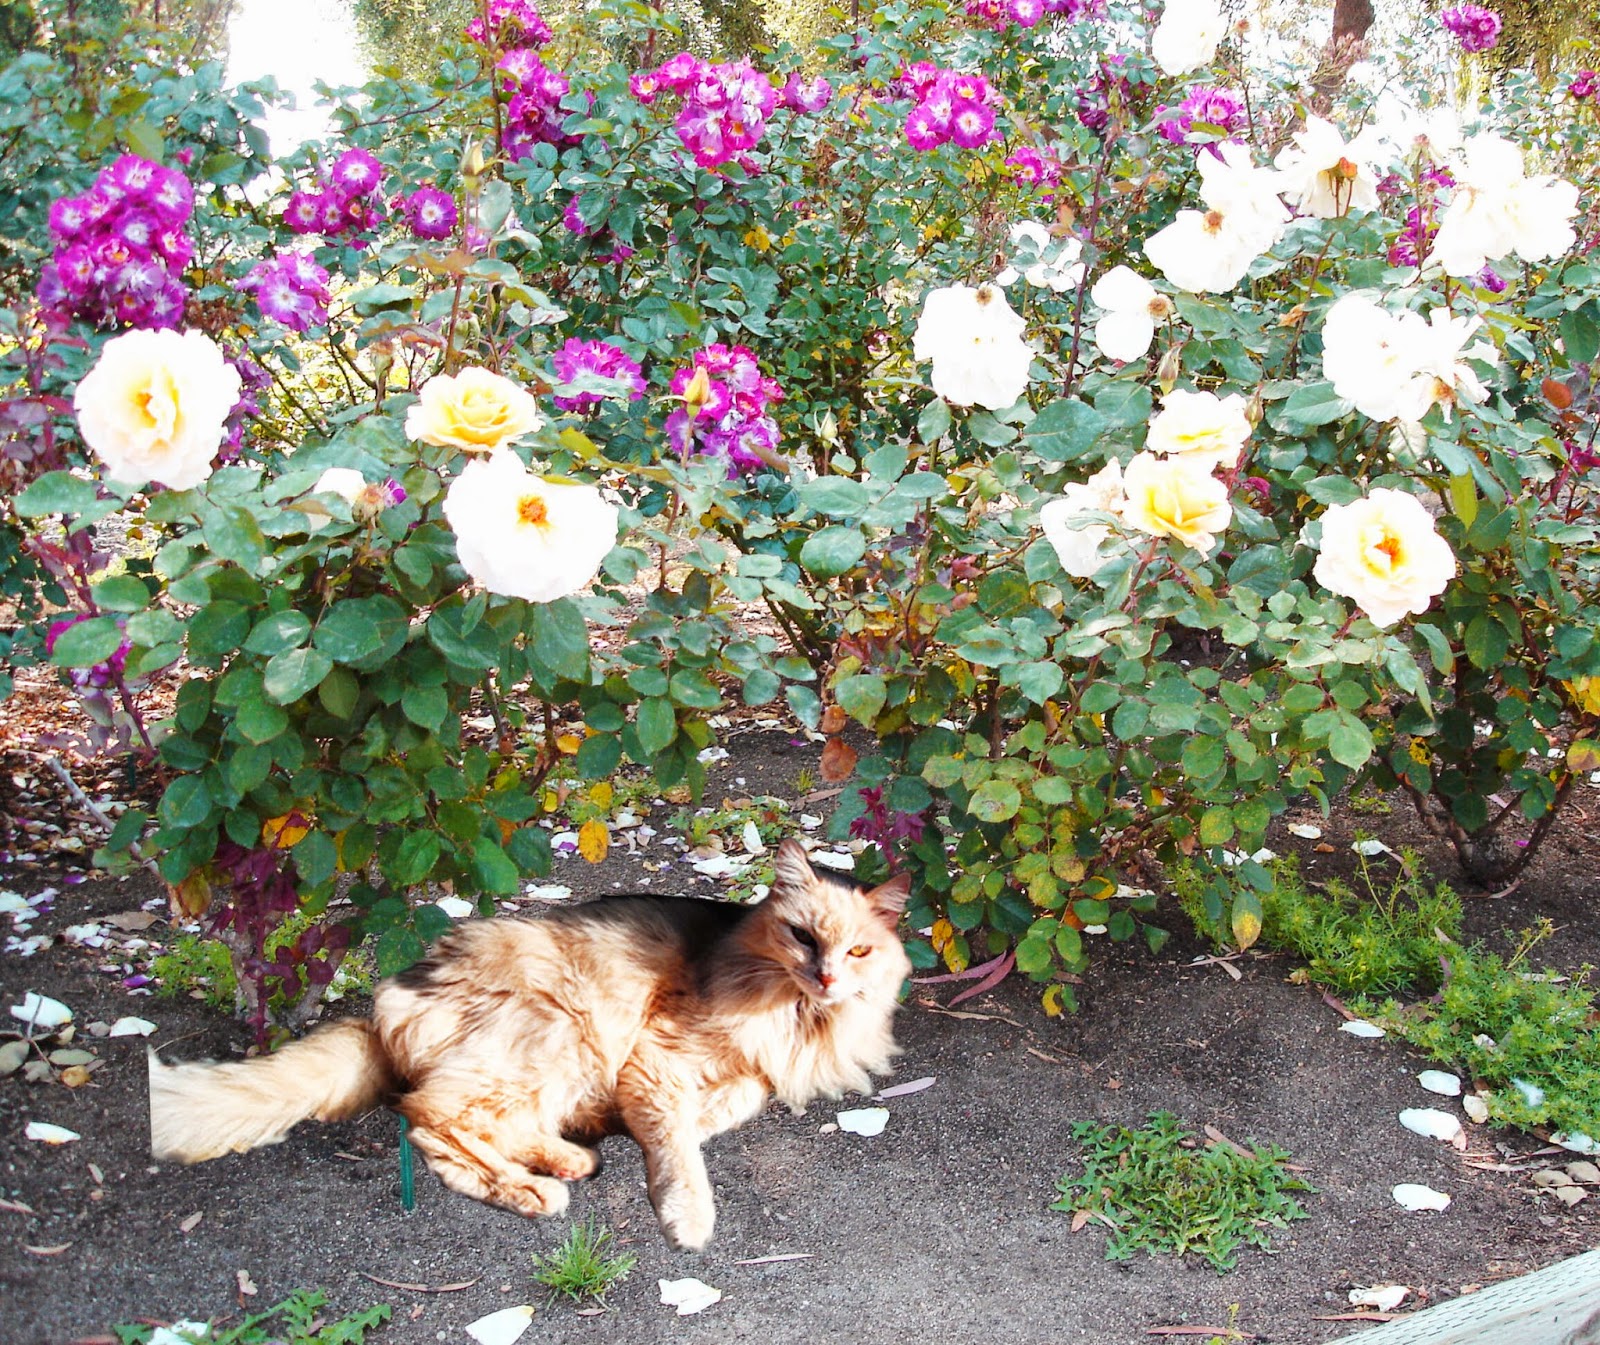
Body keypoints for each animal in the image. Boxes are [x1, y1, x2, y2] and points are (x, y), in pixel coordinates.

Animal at [148, 839, 912, 1250]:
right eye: (802, 937)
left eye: (858, 949)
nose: (827, 974)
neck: (799, 1013)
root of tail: (388, 1001)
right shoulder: (657, 1057)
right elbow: (680, 1143)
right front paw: (686, 1217)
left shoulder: (742, 1071)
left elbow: (734, 1099)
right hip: (560, 1029)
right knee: (431, 1120)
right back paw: (535, 1189)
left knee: (480, 1121)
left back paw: (569, 1157)